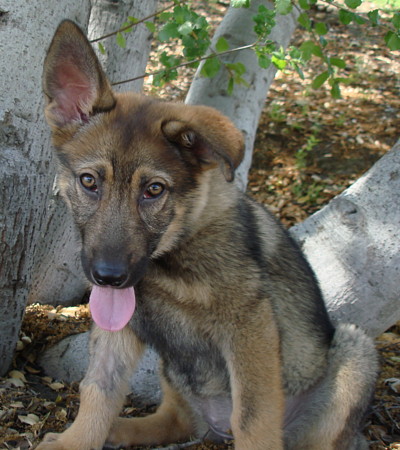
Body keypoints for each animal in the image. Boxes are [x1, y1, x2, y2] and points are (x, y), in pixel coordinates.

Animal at [37, 20, 378, 450]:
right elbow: (99, 388)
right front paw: (76, 441)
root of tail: (215, 429)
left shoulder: (250, 326)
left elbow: (253, 417)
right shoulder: (119, 325)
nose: (108, 276)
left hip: (354, 350)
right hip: (175, 373)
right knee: (176, 420)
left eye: (154, 190)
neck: (170, 256)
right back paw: (123, 430)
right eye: (88, 182)